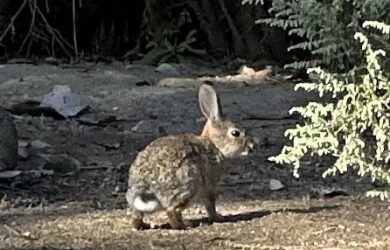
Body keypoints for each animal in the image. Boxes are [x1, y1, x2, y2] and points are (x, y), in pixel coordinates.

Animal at [125, 84, 253, 230]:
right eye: (235, 133)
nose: (252, 146)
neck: (214, 145)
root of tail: (145, 185)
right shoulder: (209, 186)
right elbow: (210, 204)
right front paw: (218, 217)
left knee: (137, 215)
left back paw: (144, 225)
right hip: (189, 184)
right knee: (172, 210)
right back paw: (185, 226)